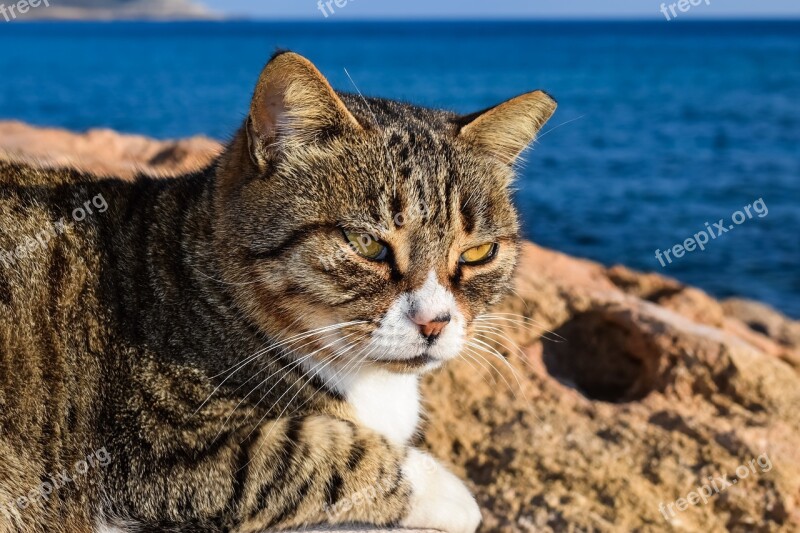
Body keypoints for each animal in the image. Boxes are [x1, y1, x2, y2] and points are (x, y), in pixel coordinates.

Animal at [0, 51, 552, 532]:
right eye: (367, 244)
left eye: (478, 254)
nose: (435, 321)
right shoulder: (155, 450)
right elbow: (312, 451)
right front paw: (451, 494)